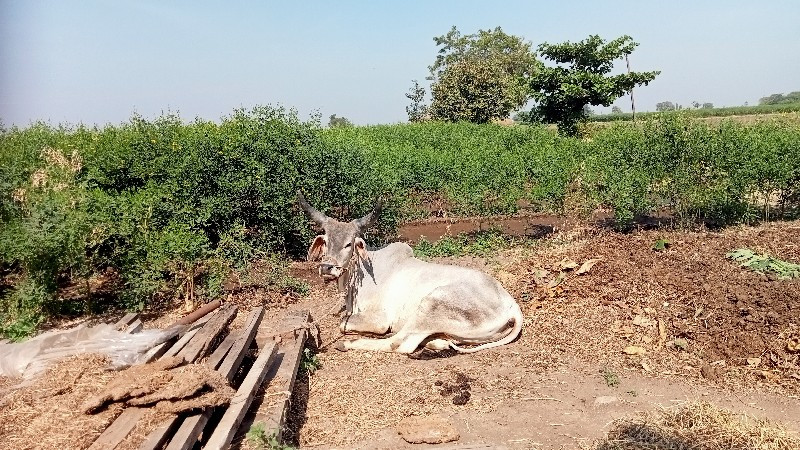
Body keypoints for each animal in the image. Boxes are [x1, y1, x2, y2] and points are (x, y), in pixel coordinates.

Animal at [296, 192, 520, 354]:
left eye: (348, 244)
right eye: (325, 241)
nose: (327, 267)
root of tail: (511, 305)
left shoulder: (379, 319)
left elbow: (343, 323)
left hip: (432, 304)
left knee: (400, 344)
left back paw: (349, 344)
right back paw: (436, 344)